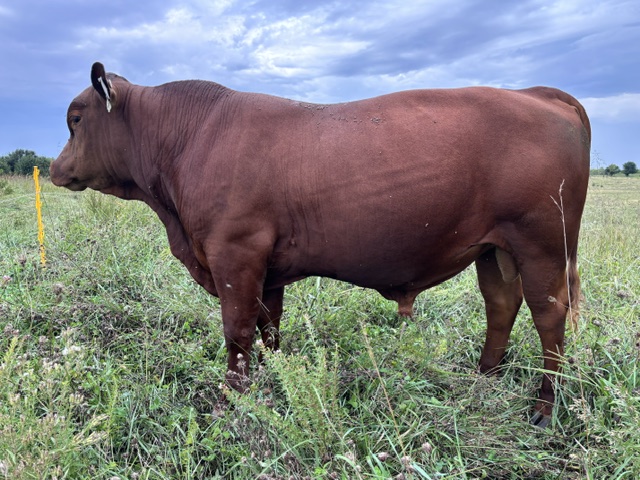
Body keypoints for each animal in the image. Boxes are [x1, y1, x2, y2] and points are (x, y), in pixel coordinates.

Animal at [51, 62, 590, 427]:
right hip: (493, 250)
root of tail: (538, 93)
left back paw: (544, 407)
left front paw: (231, 403)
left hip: (542, 244)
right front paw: (274, 383)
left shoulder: (235, 255)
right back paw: (484, 378)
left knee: (549, 317)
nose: (54, 169)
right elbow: (268, 330)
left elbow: (237, 335)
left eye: (75, 119)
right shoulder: (266, 269)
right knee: (501, 304)